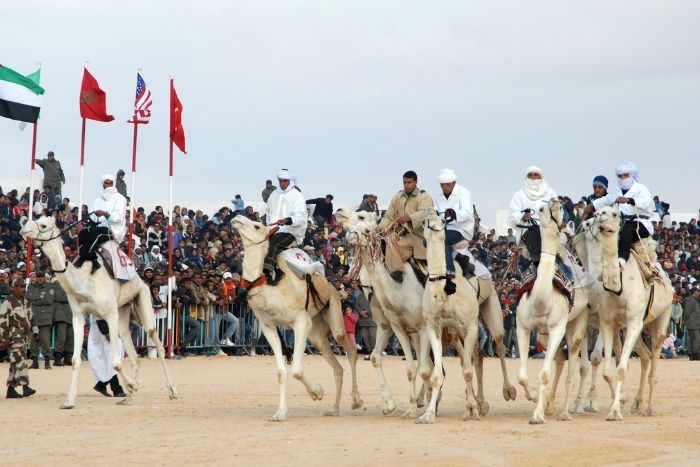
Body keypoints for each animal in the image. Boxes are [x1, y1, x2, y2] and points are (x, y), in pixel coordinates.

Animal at [20, 217, 178, 410]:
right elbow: (75, 360)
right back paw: (128, 398)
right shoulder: (78, 317)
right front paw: (69, 401)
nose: (23, 228)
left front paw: (132, 385)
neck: (85, 282)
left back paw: (172, 391)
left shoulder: (110, 314)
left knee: (156, 341)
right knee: (132, 351)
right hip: (123, 309)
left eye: (43, 224)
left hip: (143, 297)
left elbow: (116, 363)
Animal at [232, 218, 364, 422]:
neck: (269, 285)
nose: (236, 219)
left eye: (256, 225)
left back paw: (356, 401)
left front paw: (317, 392)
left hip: (334, 314)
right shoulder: (268, 326)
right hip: (316, 331)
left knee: (350, 350)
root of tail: (332, 286)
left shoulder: (300, 321)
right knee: (335, 364)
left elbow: (296, 370)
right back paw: (333, 409)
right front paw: (280, 413)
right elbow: (281, 372)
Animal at [416, 208, 482, 424]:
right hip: (454, 334)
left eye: (443, 220)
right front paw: (428, 415)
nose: (431, 219)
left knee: (471, 362)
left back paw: (474, 407)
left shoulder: (470, 327)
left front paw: (473, 410)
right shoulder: (433, 327)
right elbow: (437, 374)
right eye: (425, 221)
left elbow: (468, 371)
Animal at [516, 199, 588, 426]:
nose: (555, 202)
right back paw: (549, 405)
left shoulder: (558, 327)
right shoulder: (523, 326)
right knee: (559, 359)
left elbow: (544, 374)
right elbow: (522, 375)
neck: (541, 301)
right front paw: (532, 397)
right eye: (540, 209)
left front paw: (537, 415)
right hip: (543, 334)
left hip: (576, 323)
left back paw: (565, 412)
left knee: (572, 364)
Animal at [592, 207, 668, 422]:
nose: (600, 217)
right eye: (598, 211)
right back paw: (636, 404)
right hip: (626, 327)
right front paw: (617, 405)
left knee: (654, 355)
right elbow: (609, 369)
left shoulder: (634, 321)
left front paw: (615, 411)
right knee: (645, 355)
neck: (619, 287)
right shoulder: (608, 322)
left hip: (662, 317)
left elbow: (622, 368)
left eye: (613, 213)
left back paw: (648, 408)